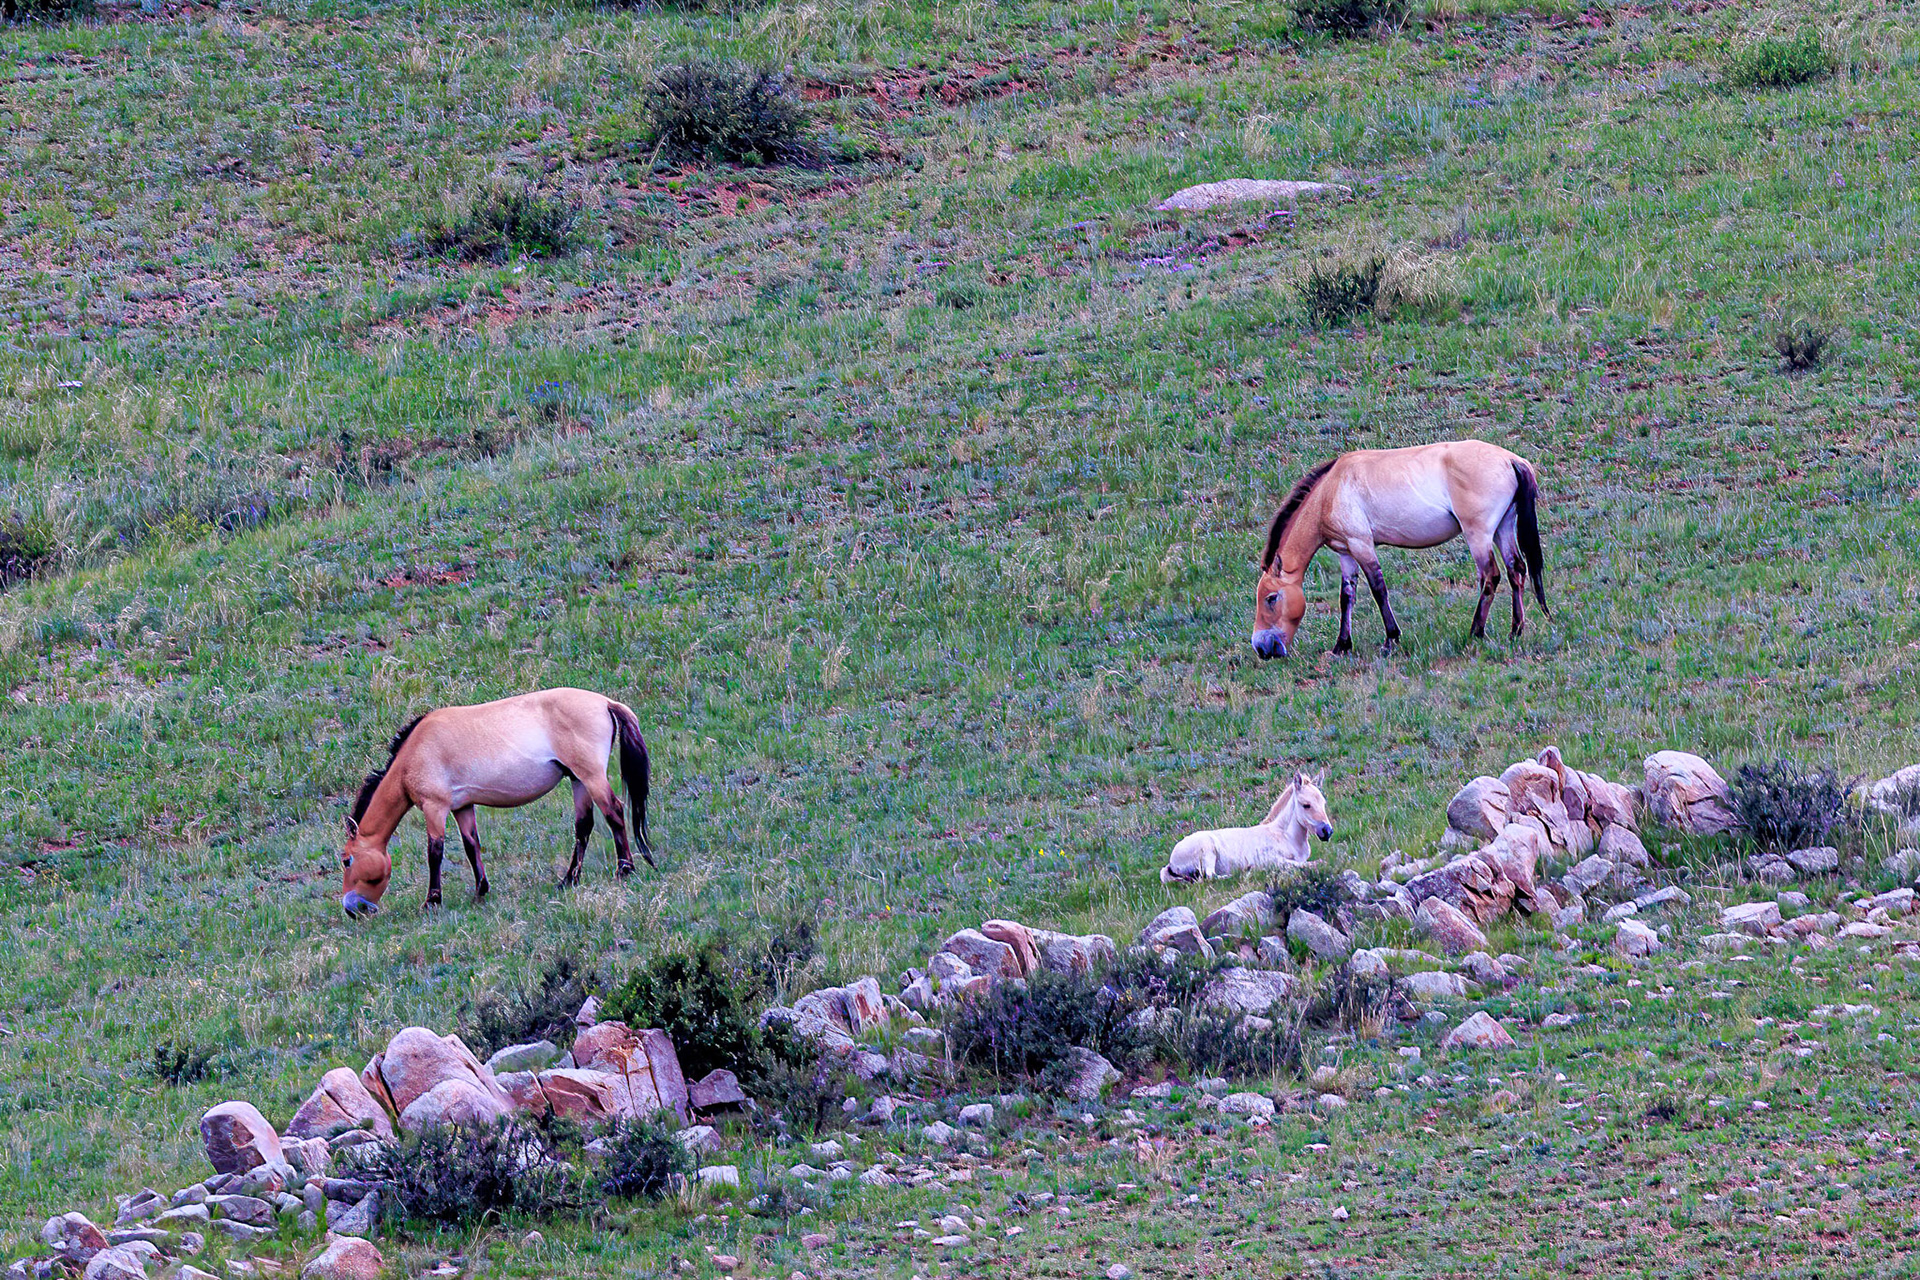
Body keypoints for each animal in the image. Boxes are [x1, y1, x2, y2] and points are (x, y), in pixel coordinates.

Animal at [339, 687, 653, 917]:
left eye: (346, 860)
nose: (352, 909)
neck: (416, 752)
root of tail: (605, 702)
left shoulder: (435, 807)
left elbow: (435, 852)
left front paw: (432, 901)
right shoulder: (462, 807)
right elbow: (471, 846)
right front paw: (480, 891)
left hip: (591, 777)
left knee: (614, 812)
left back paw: (624, 869)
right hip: (578, 780)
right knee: (584, 826)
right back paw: (568, 880)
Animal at [1161, 773, 1334, 882]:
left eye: (1323, 803)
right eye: (1306, 805)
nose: (1327, 831)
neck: (1284, 836)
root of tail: (1171, 862)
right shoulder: (1270, 860)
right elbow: (1306, 864)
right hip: (1207, 850)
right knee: (1209, 876)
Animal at [1250, 439, 1548, 659]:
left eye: (1271, 598)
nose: (1261, 648)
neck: (1331, 491)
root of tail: (1510, 459)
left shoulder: (1361, 545)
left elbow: (1378, 589)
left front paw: (1391, 639)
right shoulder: (1345, 552)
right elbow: (1347, 596)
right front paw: (1341, 646)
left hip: (1479, 535)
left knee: (1490, 577)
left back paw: (1476, 631)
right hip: (1503, 528)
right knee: (1515, 570)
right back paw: (1515, 630)